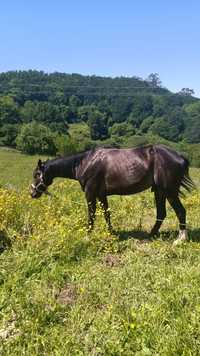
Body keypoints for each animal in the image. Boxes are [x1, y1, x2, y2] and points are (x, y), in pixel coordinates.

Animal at [30, 144, 195, 242]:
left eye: (37, 174)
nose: (32, 193)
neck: (85, 162)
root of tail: (180, 157)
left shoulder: (90, 194)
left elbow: (91, 215)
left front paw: (88, 235)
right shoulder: (101, 195)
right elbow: (106, 214)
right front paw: (111, 233)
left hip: (169, 191)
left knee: (181, 211)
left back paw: (181, 239)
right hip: (159, 191)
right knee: (161, 213)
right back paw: (151, 235)